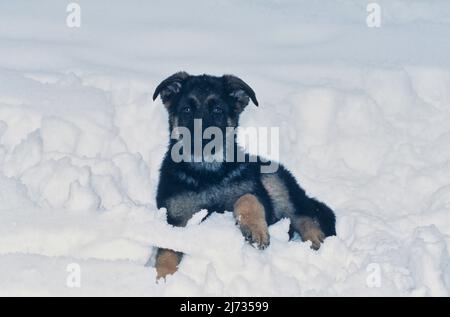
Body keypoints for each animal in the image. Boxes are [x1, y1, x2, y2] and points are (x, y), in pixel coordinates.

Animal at [153, 72, 336, 278]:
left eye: (218, 110)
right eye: (186, 110)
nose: (201, 140)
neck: (208, 174)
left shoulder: (260, 198)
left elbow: (248, 198)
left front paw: (255, 229)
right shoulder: (174, 220)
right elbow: (167, 251)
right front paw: (162, 277)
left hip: (274, 181)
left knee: (302, 214)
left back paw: (316, 240)